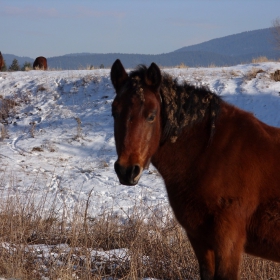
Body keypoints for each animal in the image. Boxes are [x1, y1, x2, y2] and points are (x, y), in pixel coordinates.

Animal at [110, 58, 280, 278]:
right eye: (114, 112)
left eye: (151, 115)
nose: (127, 170)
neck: (209, 153)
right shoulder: (200, 240)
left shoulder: (228, 242)